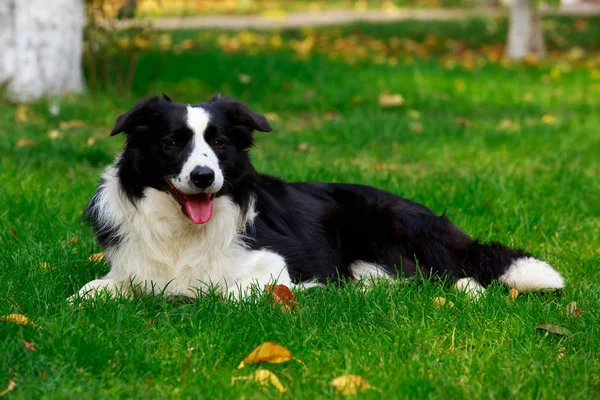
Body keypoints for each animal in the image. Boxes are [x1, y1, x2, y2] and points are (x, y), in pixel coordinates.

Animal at [72, 94, 564, 300]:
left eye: (220, 143)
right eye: (172, 142)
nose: (204, 176)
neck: (179, 232)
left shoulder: (272, 263)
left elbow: (227, 293)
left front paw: (309, 291)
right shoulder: (131, 269)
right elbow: (87, 292)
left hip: (389, 227)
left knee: (453, 273)